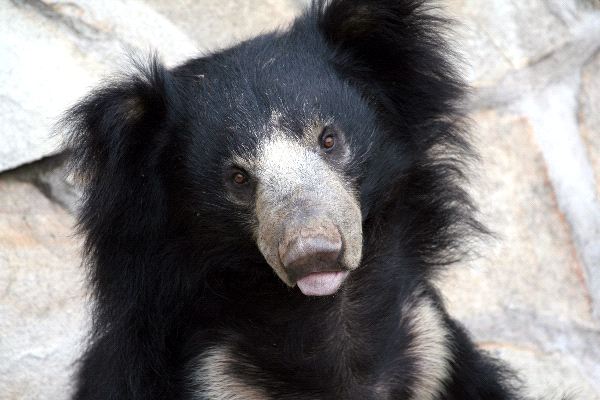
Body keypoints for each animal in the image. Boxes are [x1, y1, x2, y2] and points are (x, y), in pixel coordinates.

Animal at [63, 0, 536, 400]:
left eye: (328, 140)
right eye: (238, 178)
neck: (327, 316)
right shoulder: (212, 376)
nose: (313, 255)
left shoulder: (432, 352)